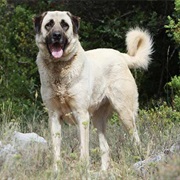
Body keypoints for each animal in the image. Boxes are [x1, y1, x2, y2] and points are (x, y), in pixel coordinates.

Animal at [33, 10, 153, 171]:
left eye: (65, 25)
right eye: (49, 24)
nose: (57, 35)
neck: (59, 69)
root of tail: (121, 55)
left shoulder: (81, 115)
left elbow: (83, 150)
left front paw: (83, 170)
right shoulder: (54, 117)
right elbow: (56, 151)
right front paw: (57, 171)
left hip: (125, 114)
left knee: (136, 140)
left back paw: (140, 161)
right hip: (98, 120)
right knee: (105, 148)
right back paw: (103, 172)